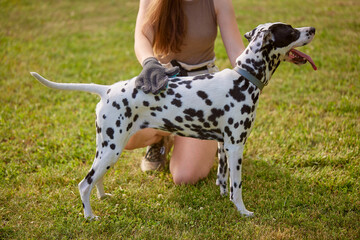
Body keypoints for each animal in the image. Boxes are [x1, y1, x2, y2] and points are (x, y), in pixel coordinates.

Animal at [31, 22, 318, 219]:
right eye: (291, 31)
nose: (312, 29)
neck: (243, 78)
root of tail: (106, 89)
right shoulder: (236, 146)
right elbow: (236, 186)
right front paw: (243, 212)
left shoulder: (223, 146)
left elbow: (222, 179)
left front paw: (223, 199)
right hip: (111, 150)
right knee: (84, 184)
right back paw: (90, 216)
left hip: (108, 149)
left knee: (96, 179)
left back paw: (102, 198)